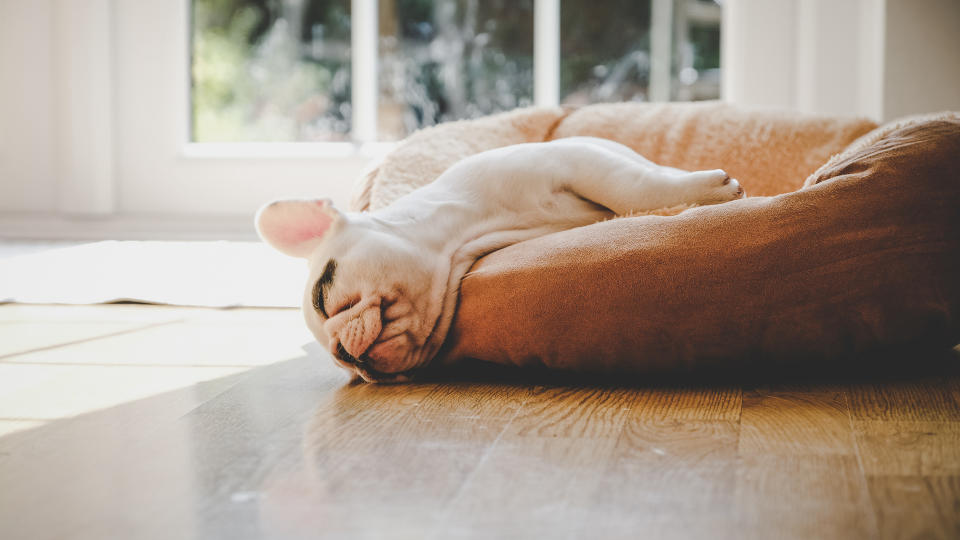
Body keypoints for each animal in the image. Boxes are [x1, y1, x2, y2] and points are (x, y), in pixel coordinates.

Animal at [255, 137, 744, 382]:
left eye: (324, 299)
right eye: (343, 369)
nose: (345, 355)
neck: (464, 232)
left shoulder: (576, 162)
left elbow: (631, 188)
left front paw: (707, 191)